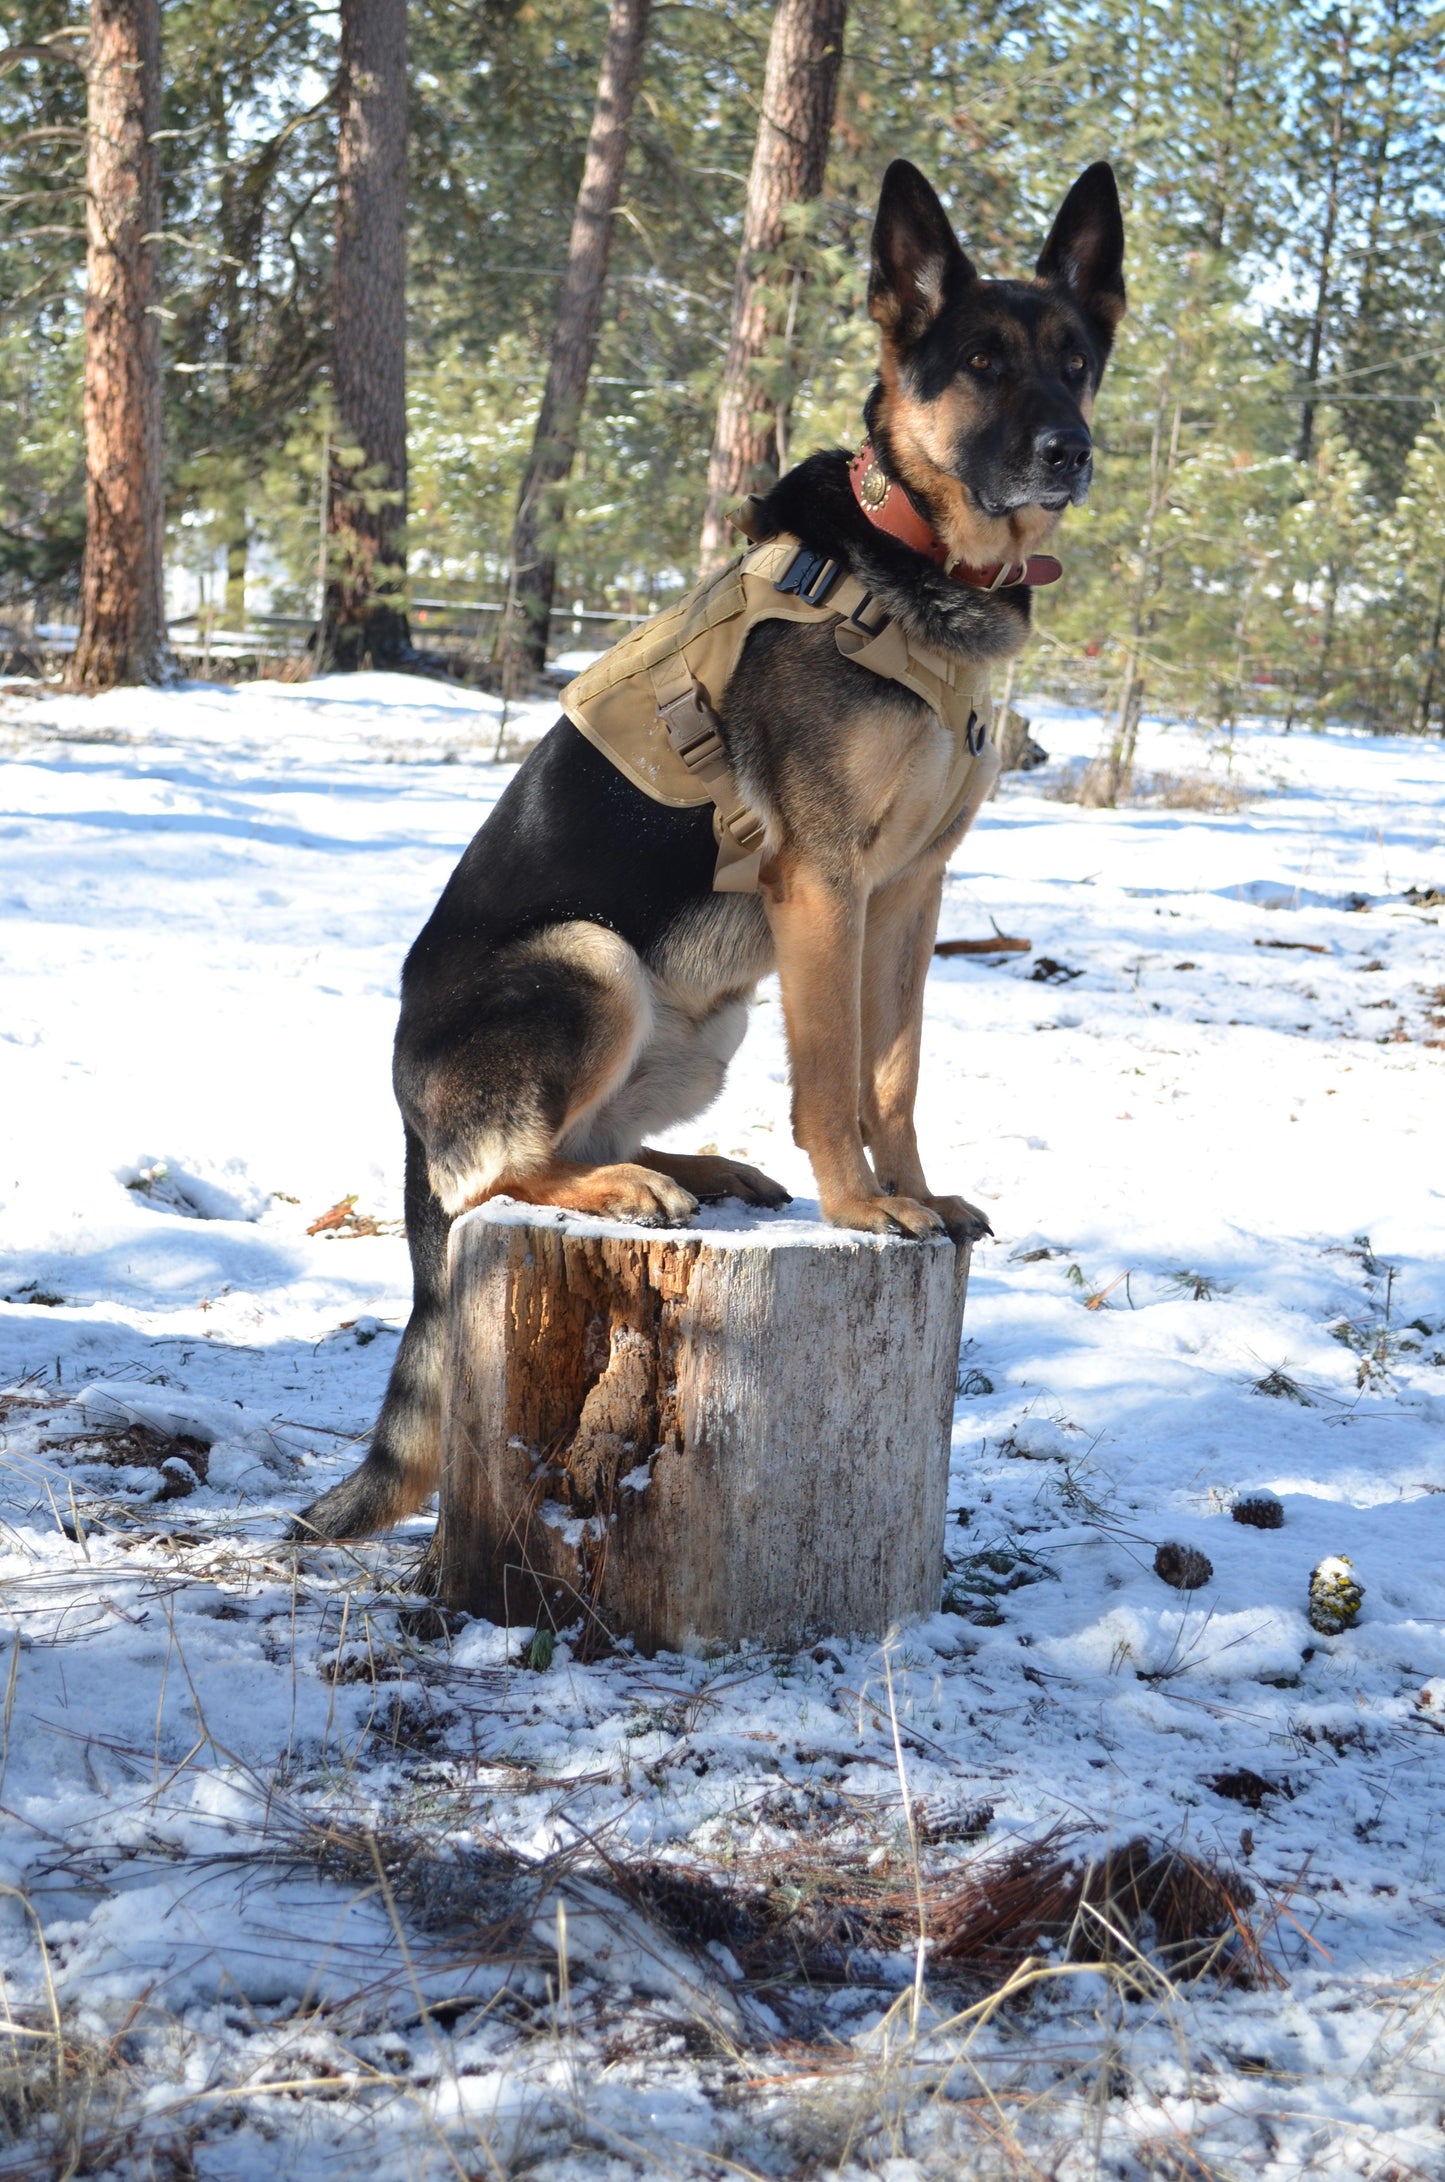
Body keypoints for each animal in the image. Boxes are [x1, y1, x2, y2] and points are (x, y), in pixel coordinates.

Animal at [296, 161, 1135, 1544]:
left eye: (1074, 361)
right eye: (980, 361)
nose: (1067, 451)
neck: (918, 567)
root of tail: (407, 1120)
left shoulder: (911, 896)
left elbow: (894, 1073)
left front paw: (918, 1194)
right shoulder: (824, 885)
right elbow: (836, 1074)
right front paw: (861, 1207)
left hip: (700, 1026)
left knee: (577, 1141)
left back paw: (688, 1167)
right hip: (591, 961)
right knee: (503, 1176)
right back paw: (626, 1191)